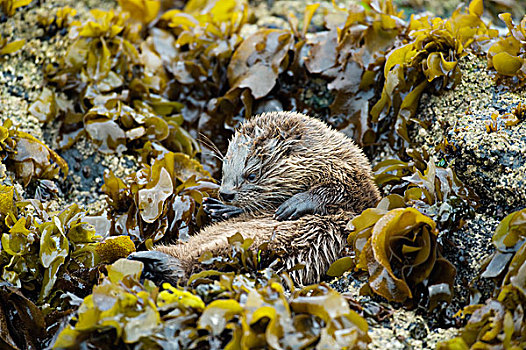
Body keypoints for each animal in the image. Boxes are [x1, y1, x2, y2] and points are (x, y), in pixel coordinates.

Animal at [130, 110, 382, 286]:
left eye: (251, 174)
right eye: (224, 169)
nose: (225, 193)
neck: (329, 160)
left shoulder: (356, 182)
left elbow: (338, 190)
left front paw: (293, 204)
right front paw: (221, 209)